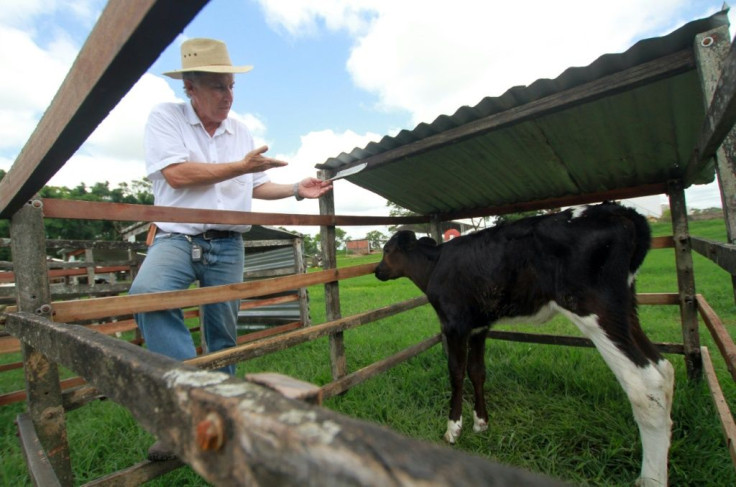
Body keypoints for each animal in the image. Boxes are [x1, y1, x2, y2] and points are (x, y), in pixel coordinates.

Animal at [376, 203, 676, 487]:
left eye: (387, 249)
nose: (377, 271)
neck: (434, 266)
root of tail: (619, 210)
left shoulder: (455, 325)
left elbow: (457, 373)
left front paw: (453, 429)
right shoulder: (479, 327)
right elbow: (477, 372)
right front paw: (481, 422)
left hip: (595, 310)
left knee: (645, 386)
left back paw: (651, 477)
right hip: (624, 310)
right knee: (664, 369)